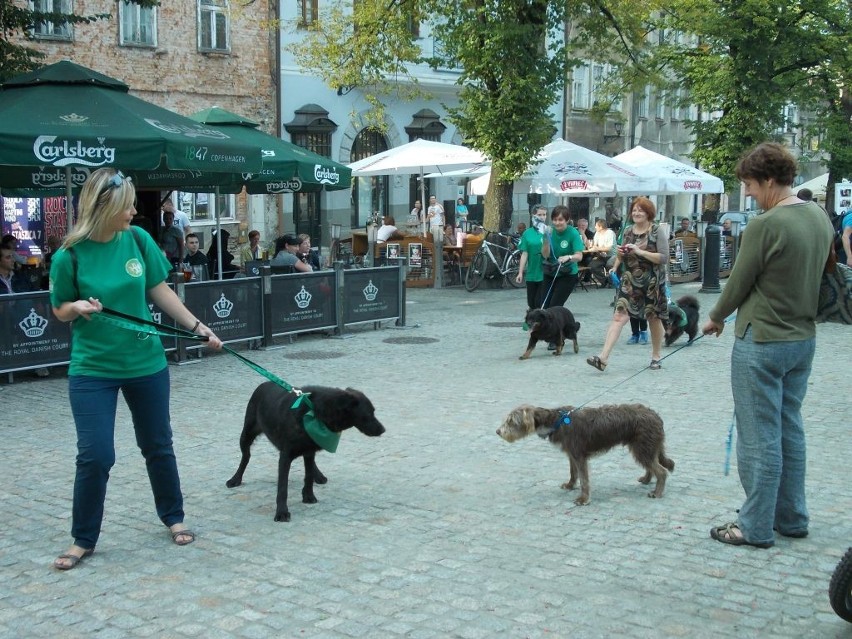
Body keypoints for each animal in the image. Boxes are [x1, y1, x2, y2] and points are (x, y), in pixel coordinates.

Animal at [226, 382, 386, 524]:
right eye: (369, 413)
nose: (383, 430)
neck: (315, 412)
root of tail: (263, 384)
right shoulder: (285, 456)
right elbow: (283, 487)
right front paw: (282, 512)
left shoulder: (309, 451)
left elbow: (308, 476)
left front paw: (308, 496)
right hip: (246, 434)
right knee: (246, 457)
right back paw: (235, 479)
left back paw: (319, 475)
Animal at [496, 404, 676, 504]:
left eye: (511, 421)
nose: (498, 431)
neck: (556, 421)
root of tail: (656, 416)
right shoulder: (571, 455)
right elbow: (573, 473)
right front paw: (570, 485)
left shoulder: (579, 456)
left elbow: (584, 480)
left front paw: (583, 499)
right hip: (643, 448)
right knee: (652, 466)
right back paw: (646, 479)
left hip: (642, 447)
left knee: (661, 471)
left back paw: (657, 492)